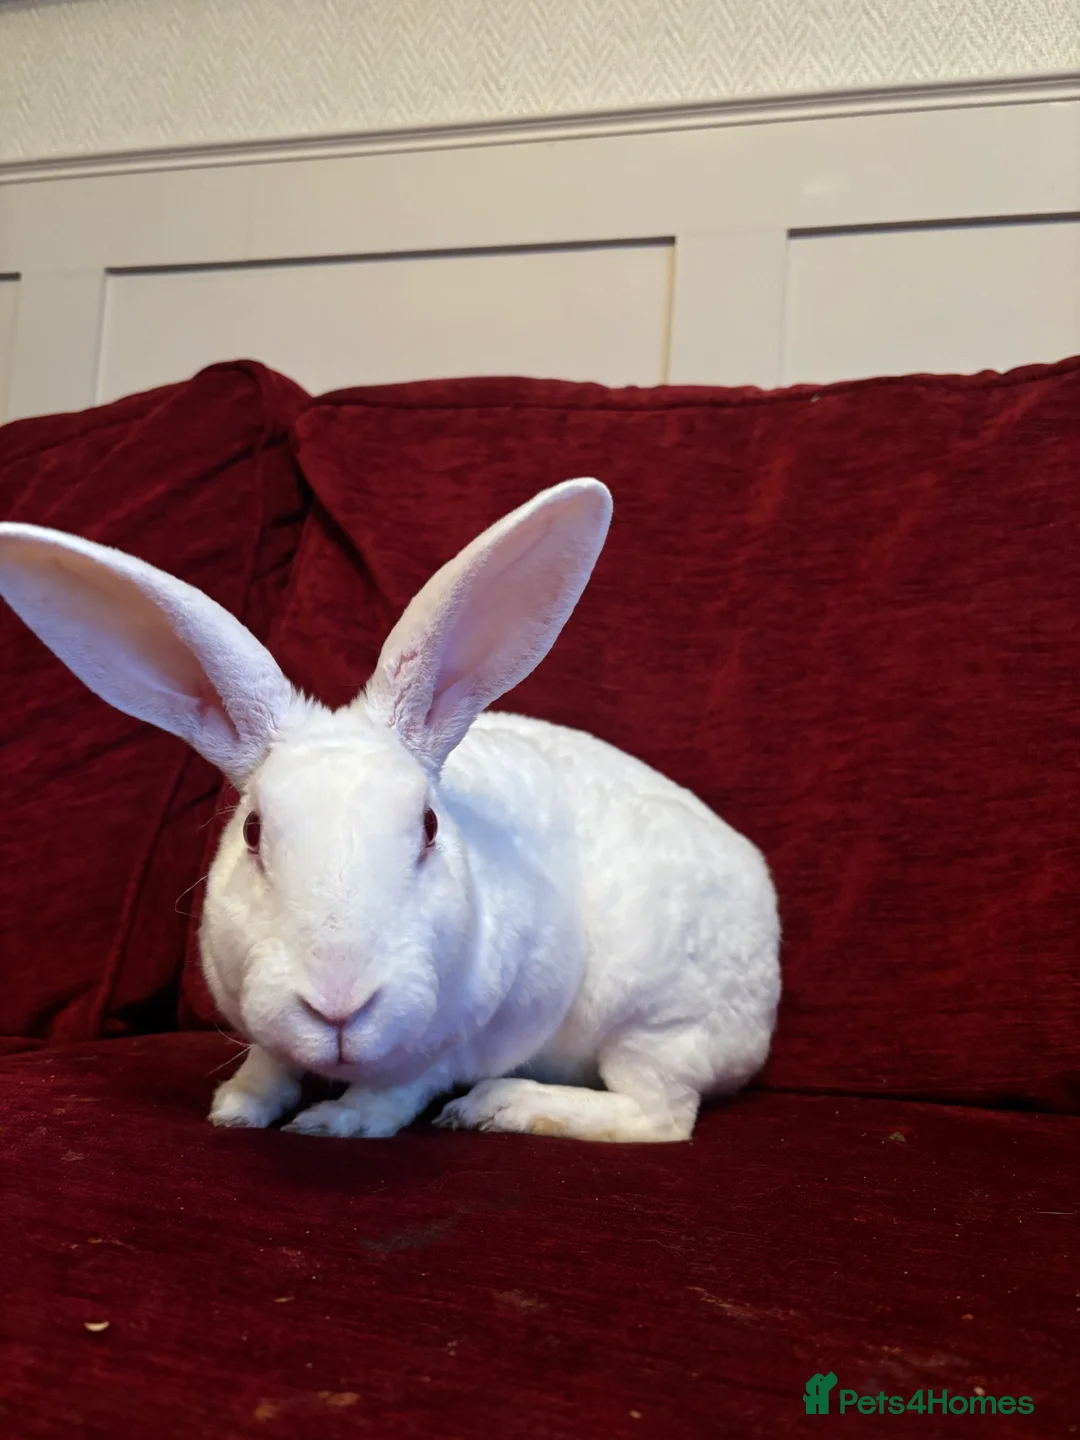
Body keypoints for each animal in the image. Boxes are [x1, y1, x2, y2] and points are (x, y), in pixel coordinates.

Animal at [0, 478, 780, 1142]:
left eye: (428, 829)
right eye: (253, 831)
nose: (338, 1005)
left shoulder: (455, 1040)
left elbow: (396, 1092)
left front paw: (331, 1123)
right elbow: (269, 1063)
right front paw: (239, 1109)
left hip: (655, 1021)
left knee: (659, 1114)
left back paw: (501, 1106)